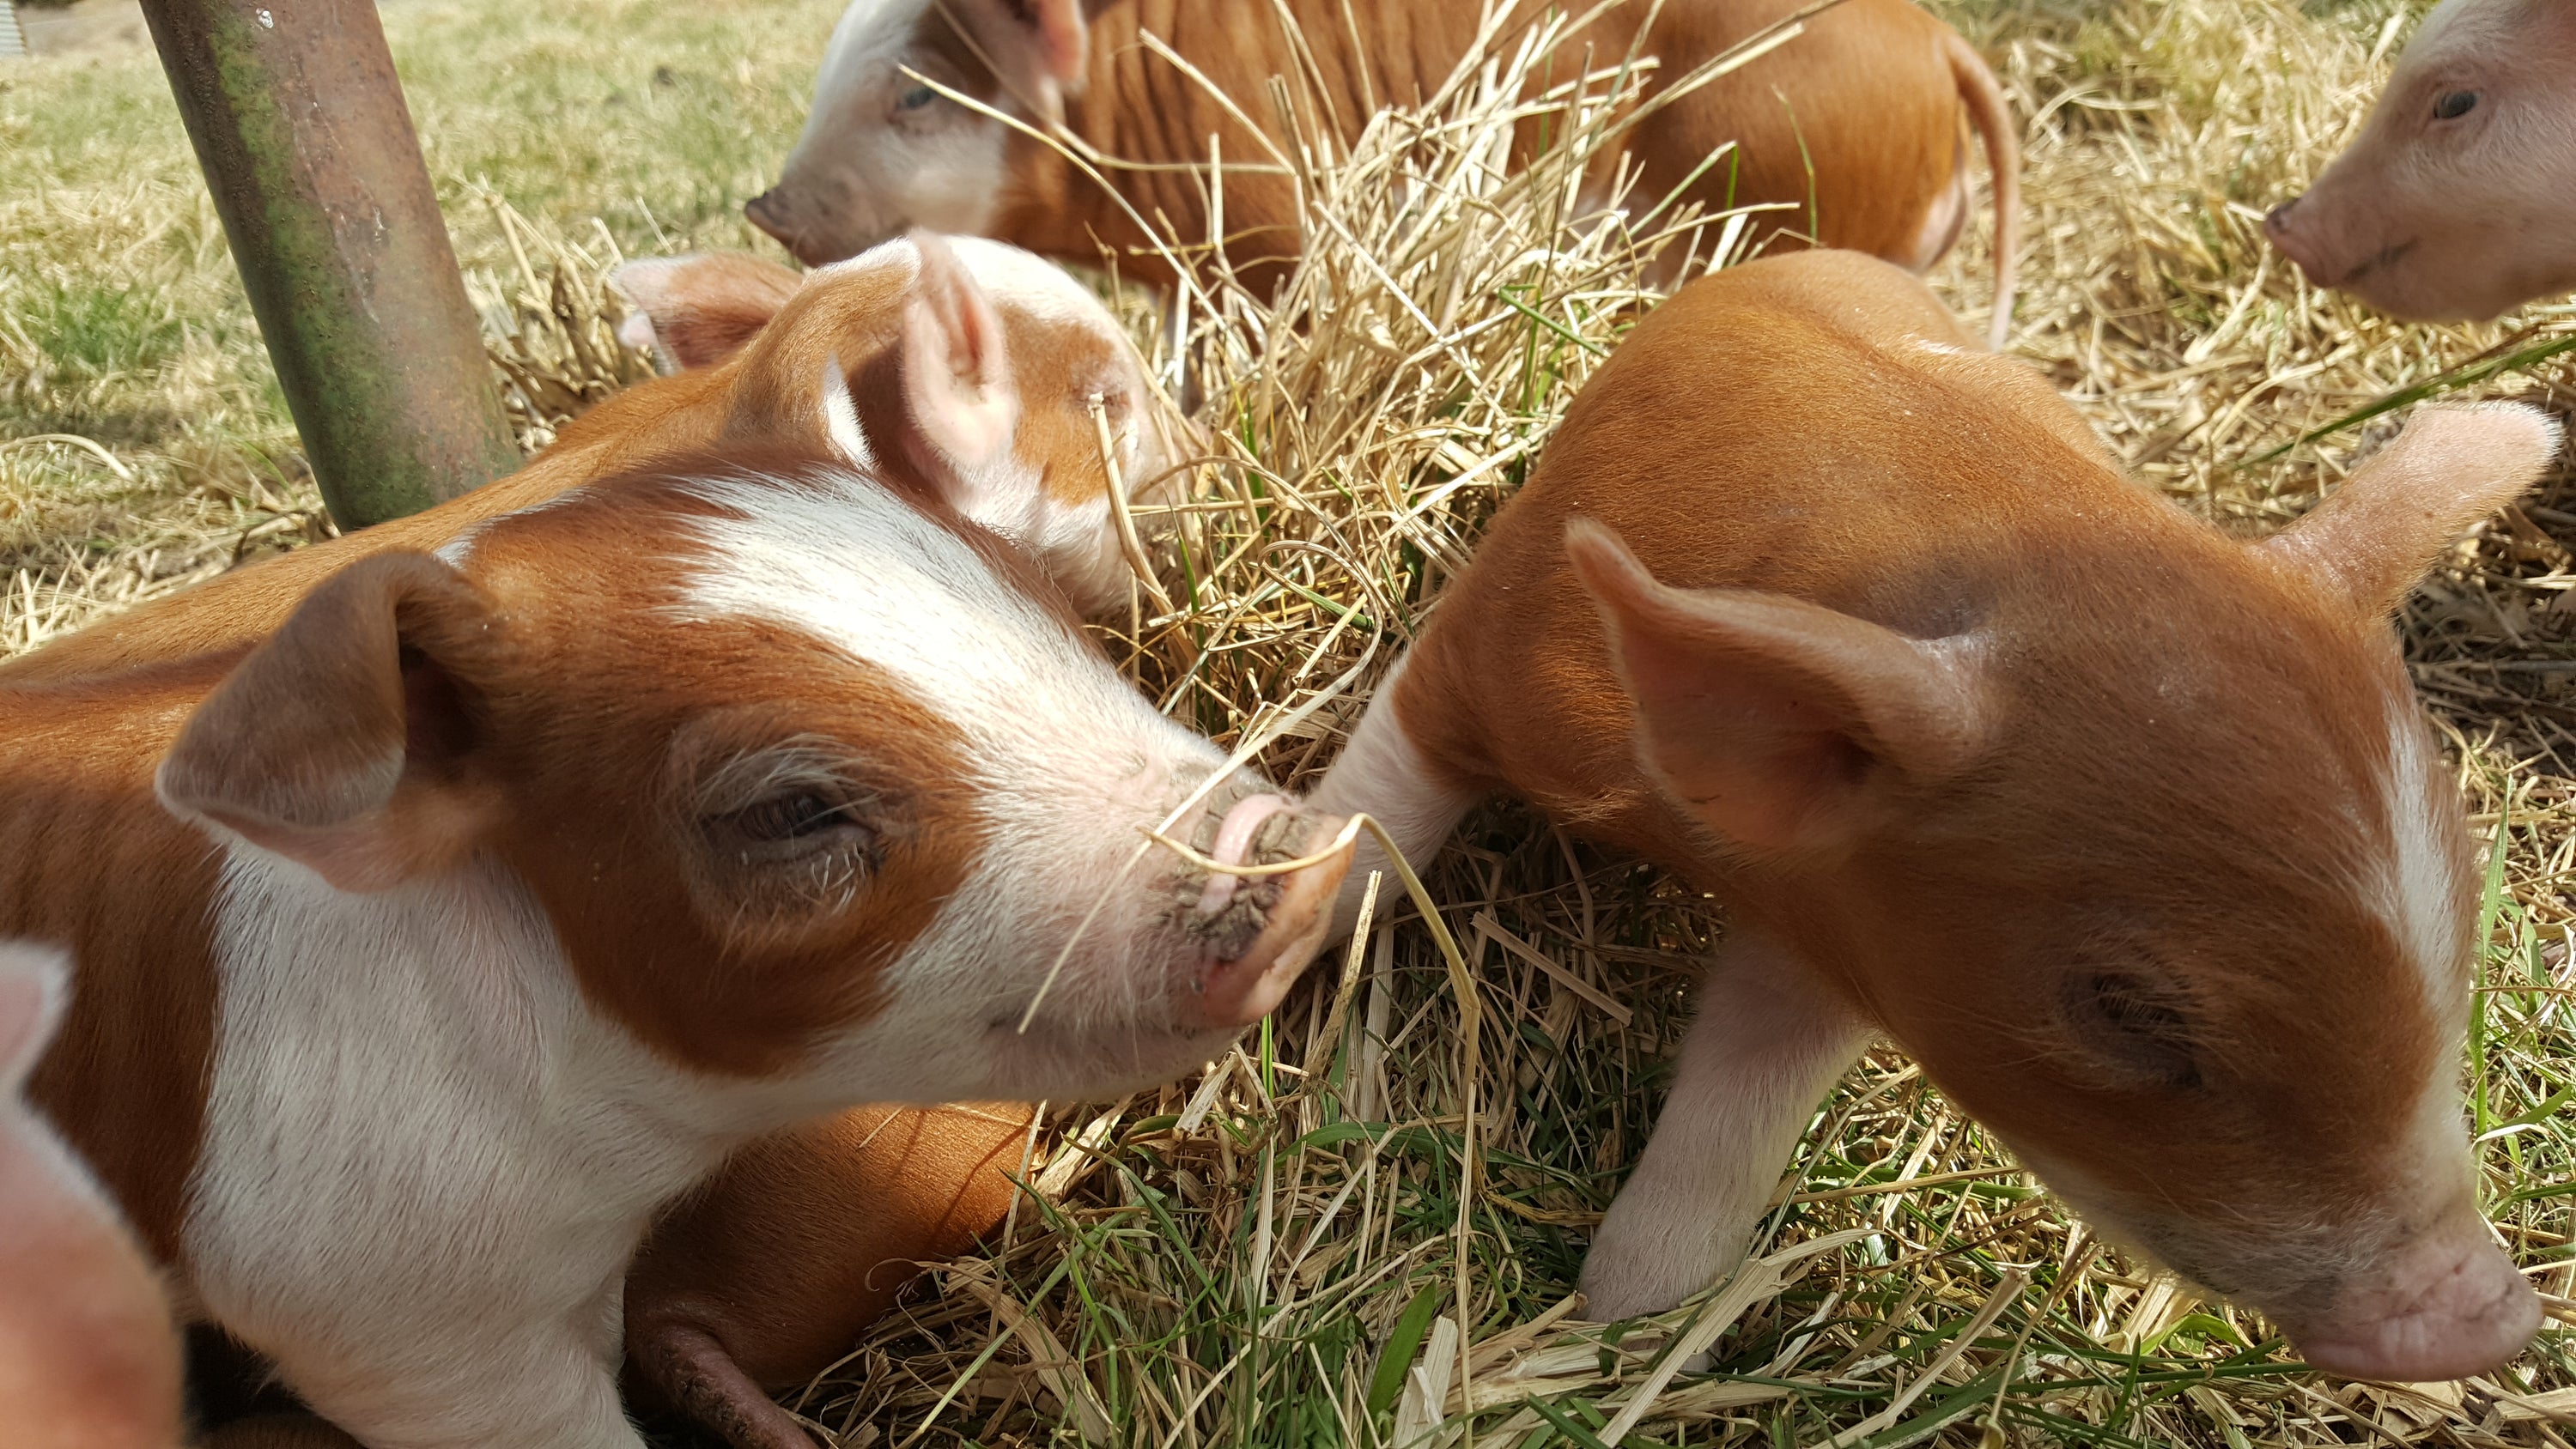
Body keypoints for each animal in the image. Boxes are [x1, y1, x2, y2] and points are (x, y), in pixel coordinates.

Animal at [1309, 248, 2560, 1382]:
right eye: (2128, 1008)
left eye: (2463, 931)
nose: (2490, 1316)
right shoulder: (1487, 646)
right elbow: (1368, 822)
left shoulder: (1852, 935)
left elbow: (1737, 1111)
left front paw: (1621, 1325)